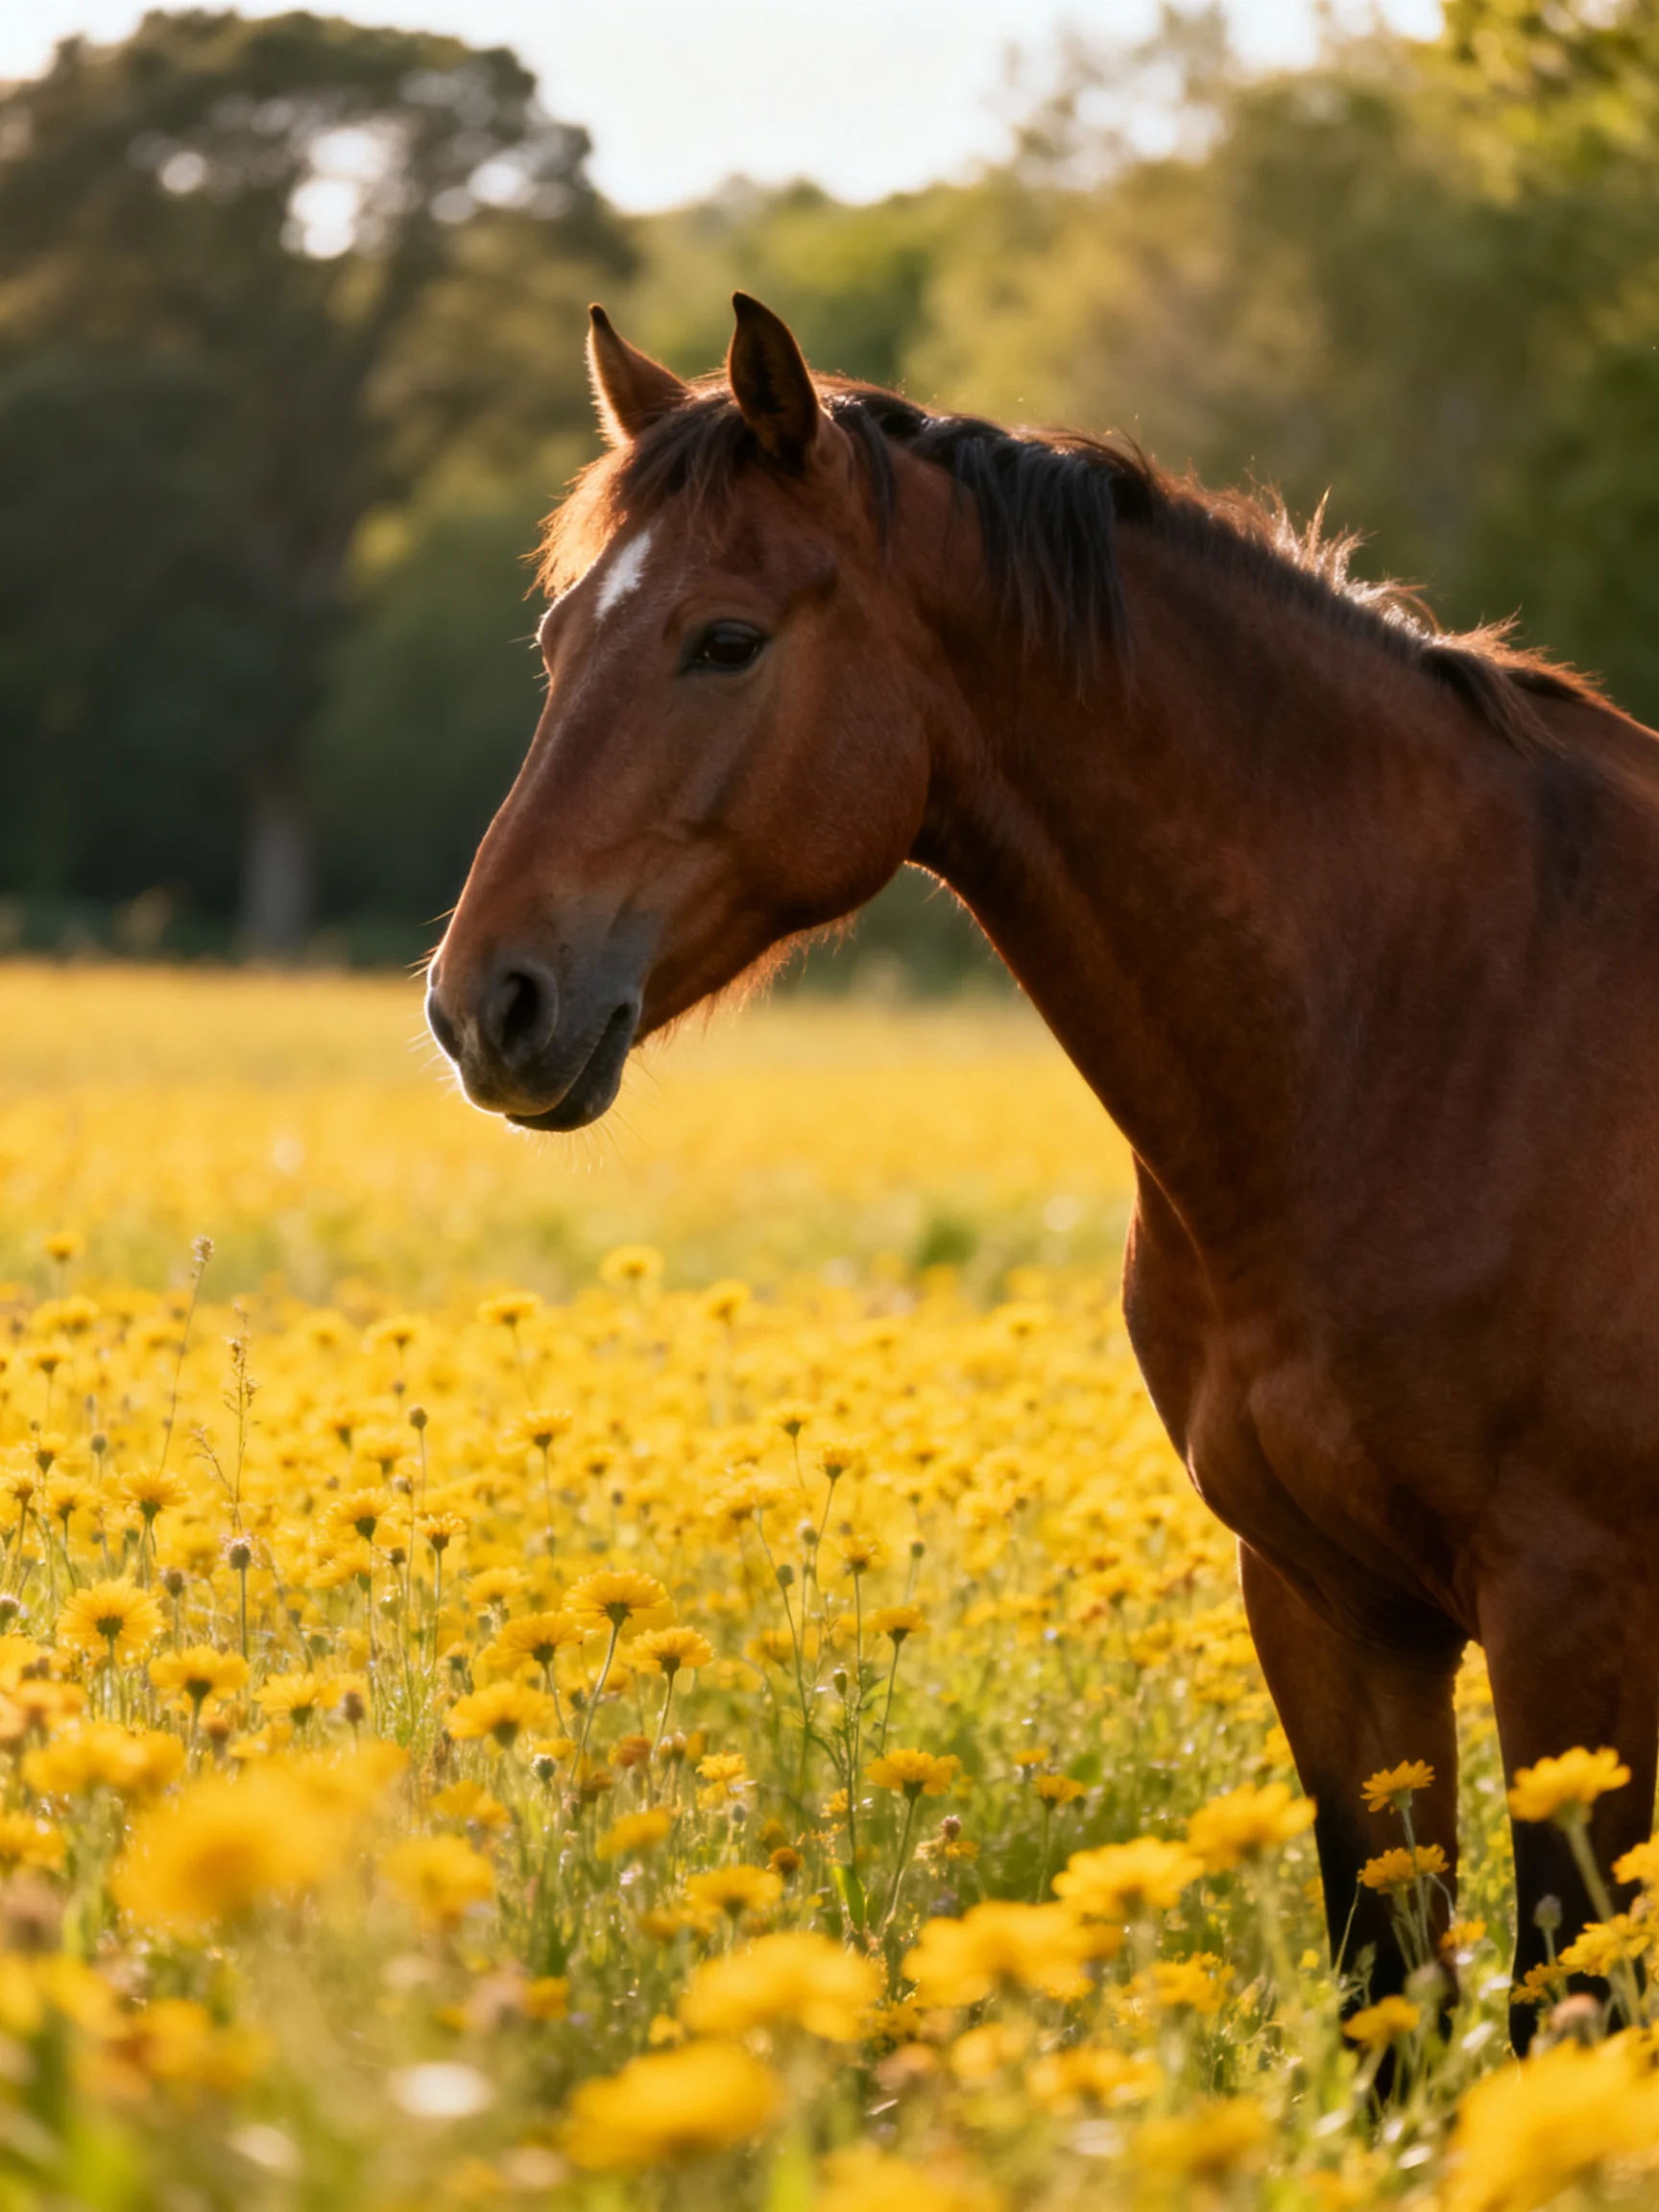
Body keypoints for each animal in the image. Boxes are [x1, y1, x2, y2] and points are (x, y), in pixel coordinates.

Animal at [426, 292, 1659, 2044]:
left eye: (725, 639)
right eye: (556, 648)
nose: (486, 1004)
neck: (1441, 1019)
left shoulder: (1571, 1621)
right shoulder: (1328, 1605)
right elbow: (1393, 1998)